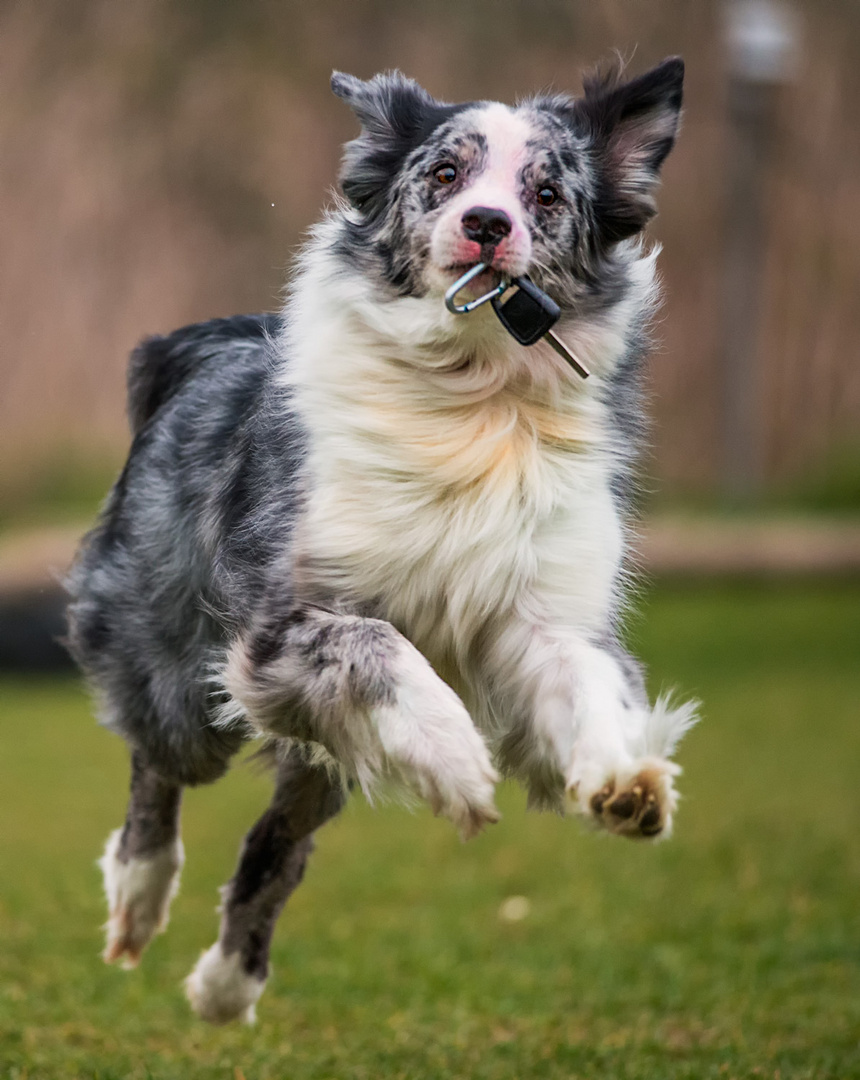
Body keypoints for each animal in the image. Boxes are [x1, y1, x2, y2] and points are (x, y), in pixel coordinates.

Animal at [67, 56, 700, 1019]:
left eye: (547, 192)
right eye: (443, 172)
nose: (486, 224)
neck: (472, 394)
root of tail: (201, 342)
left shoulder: (542, 611)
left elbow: (587, 684)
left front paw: (625, 781)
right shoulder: (282, 621)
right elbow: (382, 645)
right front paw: (462, 766)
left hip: (314, 742)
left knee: (278, 841)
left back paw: (225, 985)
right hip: (179, 673)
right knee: (159, 768)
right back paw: (138, 903)